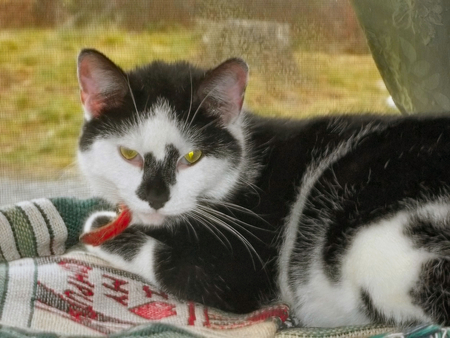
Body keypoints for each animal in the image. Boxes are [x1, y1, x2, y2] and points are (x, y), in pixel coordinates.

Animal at [77, 48, 450, 326]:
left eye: (192, 157)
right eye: (128, 154)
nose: (154, 198)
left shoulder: (242, 264)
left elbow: (170, 264)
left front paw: (98, 227)